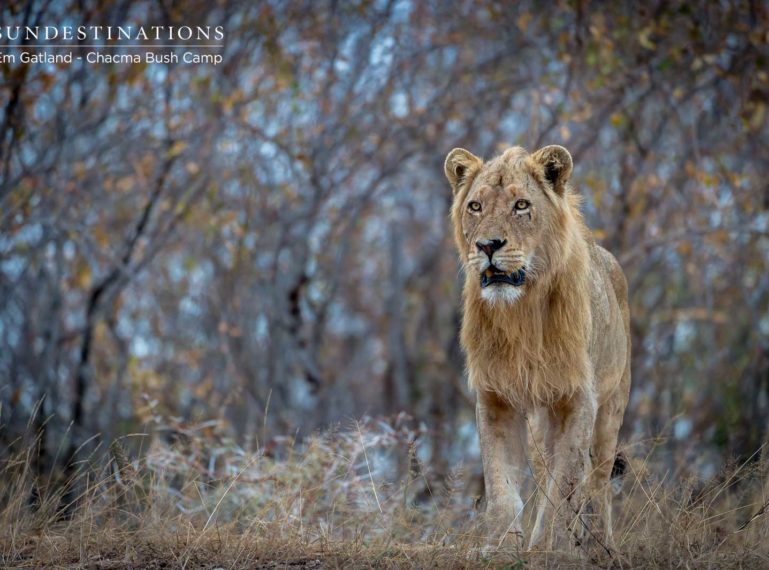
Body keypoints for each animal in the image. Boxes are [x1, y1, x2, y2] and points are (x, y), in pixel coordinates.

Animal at [444, 142, 632, 552]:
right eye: (475, 206)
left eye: (521, 205)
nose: (488, 245)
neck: (520, 313)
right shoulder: (495, 397)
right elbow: (501, 484)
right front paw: (502, 545)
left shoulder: (577, 398)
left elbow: (566, 485)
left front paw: (551, 547)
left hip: (612, 406)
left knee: (597, 480)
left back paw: (603, 545)